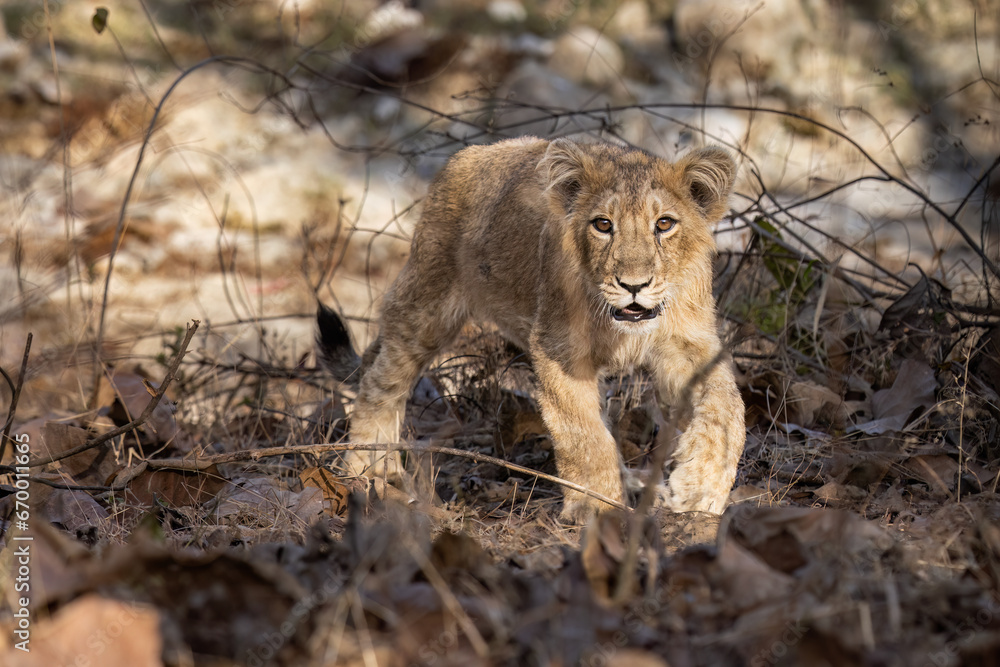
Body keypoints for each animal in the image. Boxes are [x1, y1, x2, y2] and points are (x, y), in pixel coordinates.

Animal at [318, 136, 745, 522]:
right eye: (603, 225)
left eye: (665, 224)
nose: (633, 285)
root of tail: (468, 154)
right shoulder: (559, 348)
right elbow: (583, 434)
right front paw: (596, 507)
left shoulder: (687, 346)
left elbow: (727, 409)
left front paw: (700, 488)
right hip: (426, 303)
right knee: (382, 379)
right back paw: (370, 468)